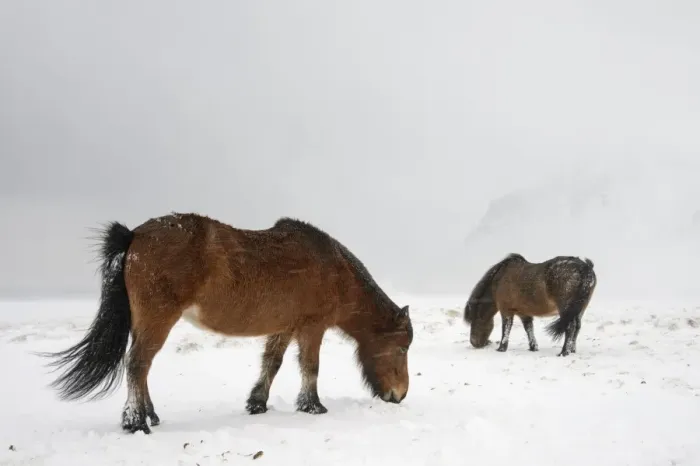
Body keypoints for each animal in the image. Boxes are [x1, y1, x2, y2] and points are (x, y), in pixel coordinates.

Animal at [41, 213, 413, 434]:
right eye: (401, 348)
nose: (399, 396)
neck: (334, 270)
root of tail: (135, 235)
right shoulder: (312, 327)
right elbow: (310, 367)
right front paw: (313, 406)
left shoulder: (285, 327)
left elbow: (272, 363)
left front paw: (257, 403)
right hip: (158, 319)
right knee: (137, 365)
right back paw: (135, 421)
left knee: (141, 368)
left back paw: (151, 415)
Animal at [463, 253, 596, 357]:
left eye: (474, 320)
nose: (475, 343)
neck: (500, 279)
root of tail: (585, 268)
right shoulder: (524, 313)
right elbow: (529, 329)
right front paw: (533, 347)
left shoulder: (506, 311)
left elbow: (506, 329)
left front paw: (501, 348)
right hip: (579, 309)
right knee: (577, 327)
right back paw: (572, 350)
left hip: (565, 308)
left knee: (570, 327)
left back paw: (564, 352)